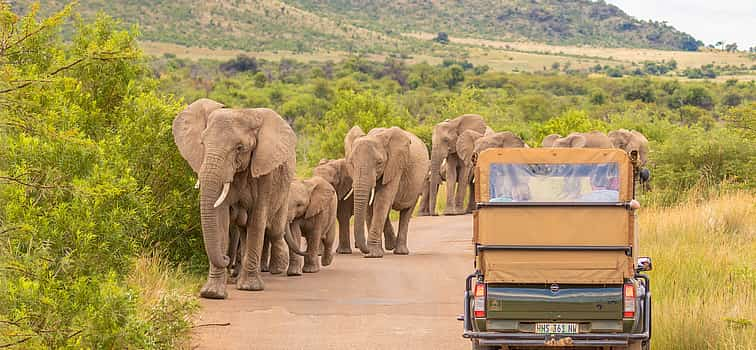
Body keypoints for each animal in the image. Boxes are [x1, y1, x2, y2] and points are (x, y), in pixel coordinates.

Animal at [171, 98, 302, 298]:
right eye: (203, 143)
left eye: (240, 148)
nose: (226, 258)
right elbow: (221, 219)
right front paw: (213, 293)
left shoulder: (265, 172)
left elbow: (258, 219)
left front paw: (250, 288)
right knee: (244, 230)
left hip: (285, 189)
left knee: (274, 231)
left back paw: (277, 269)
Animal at [344, 126, 428, 258]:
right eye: (351, 163)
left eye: (379, 163)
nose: (365, 249)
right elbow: (370, 206)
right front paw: (374, 252)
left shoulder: (395, 166)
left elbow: (382, 200)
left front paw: (373, 254)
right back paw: (391, 245)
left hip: (420, 180)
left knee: (407, 211)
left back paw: (400, 251)